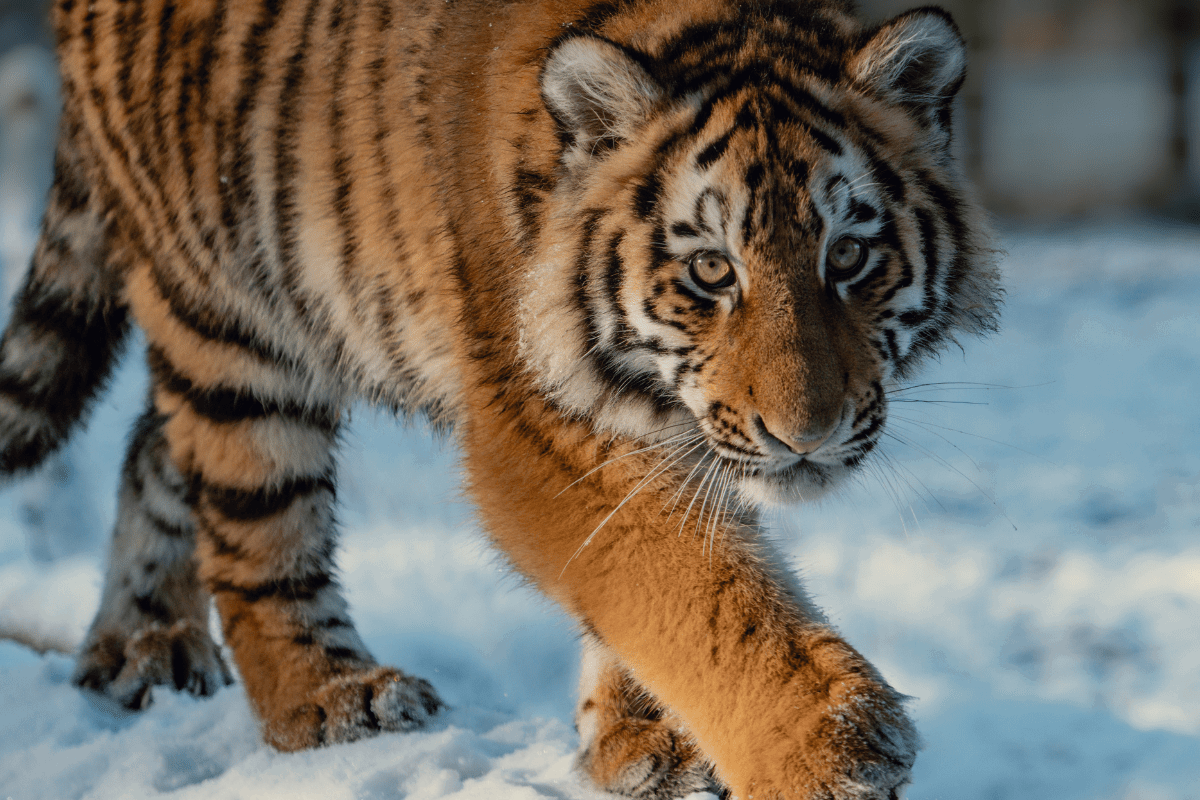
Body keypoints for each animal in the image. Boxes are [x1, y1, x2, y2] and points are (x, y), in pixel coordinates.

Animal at [0, 0, 1000, 796]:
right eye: (713, 271)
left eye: (850, 257)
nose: (807, 435)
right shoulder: (538, 431)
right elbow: (699, 591)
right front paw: (831, 748)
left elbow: (679, 578)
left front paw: (644, 741)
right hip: (231, 315)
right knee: (254, 528)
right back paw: (331, 702)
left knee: (155, 444)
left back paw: (141, 649)